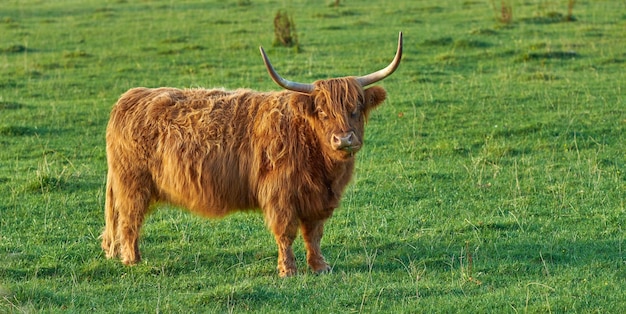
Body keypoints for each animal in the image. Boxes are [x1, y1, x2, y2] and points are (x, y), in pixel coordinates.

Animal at [100, 32, 402, 278]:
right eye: (323, 112)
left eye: (356, 109)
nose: (344, 139)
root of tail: (130, 98)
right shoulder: (280, 195)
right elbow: (286, 233)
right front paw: (288, 270)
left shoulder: (318, 199)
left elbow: (313, 234)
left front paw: (320, 266)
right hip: (132, 184)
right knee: (129, 221)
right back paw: (133, 260)